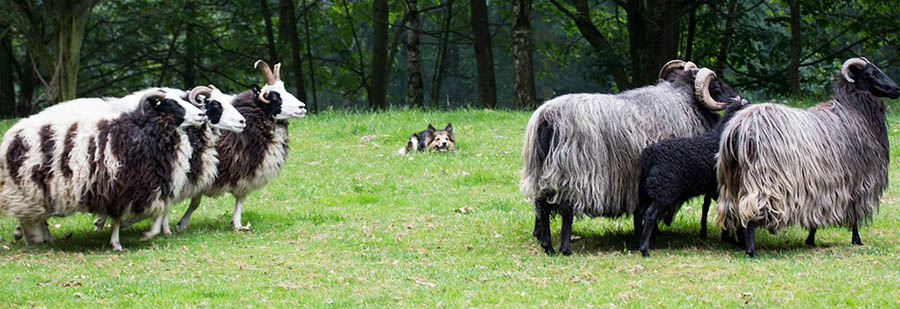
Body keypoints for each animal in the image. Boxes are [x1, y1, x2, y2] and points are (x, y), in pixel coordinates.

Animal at [0, 89, 206, 250]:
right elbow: (121, 216)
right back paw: (35, 238)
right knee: (28, 217)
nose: (201, 115)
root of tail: (10, 136)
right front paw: (118, 242)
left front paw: (153, 232)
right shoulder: (124, 185)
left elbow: (158, 212)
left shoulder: (150, 184)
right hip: (28, 187)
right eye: (171, 104)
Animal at [174, 59, 308, 230]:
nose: (302, 107)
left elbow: (240, 199)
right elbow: (195, 201)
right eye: (273, 95)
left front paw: (237, 224)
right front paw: (181, 224)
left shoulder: (244, 170)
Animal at [520, 60, 740, 255]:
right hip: (573, 173)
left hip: (541, 171)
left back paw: (547, 245)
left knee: (542, 206)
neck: (686, 102)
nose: (739, 98)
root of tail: (547, 119)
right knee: (566, 209)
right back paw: (565, 248)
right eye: (716, 85)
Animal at [632, 96, 752, 255]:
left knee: (638, 212)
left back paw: (638, 243)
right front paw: (733, 239)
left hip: (649, 188)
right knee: (650, 214)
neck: (720, 135)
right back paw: (645, 250)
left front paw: (727, 237)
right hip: (664, 189)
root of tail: (650, 154)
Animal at [716, 57, 900, 255]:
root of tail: (739, 130)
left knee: (734, 210)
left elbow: (816, 213)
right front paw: (857, 240)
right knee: (751, 210)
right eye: (871, 73)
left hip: (732, 180)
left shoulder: (820, 185)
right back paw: (751, 251)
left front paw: (810, 239)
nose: (896, 89)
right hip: (763, 180)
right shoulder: (858, 182)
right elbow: (854, 216)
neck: (854, 110)